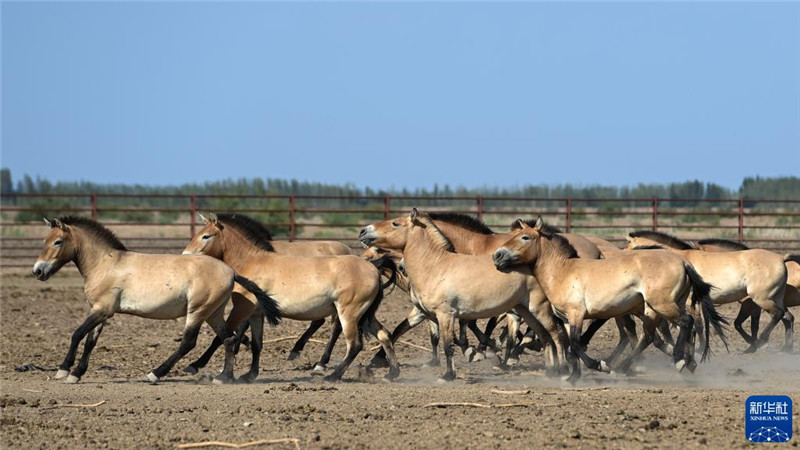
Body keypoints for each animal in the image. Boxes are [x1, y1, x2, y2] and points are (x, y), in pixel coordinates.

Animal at [32, 217, 282, 384]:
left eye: (57, 241)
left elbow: (77, 334)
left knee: (188, 342)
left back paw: (155, 373)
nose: (38, 271)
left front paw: (64, 370)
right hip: (213, 312)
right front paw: (77, 373)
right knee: (228, 339)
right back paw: (224, 377)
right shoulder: (100, 311)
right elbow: (89, 341)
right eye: (45, 240)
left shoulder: (102, 310)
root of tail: (231, 271)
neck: (107, 264)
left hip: (197, 311)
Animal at [185, 213, 404, 382]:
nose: (186, 255)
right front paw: (249, 375)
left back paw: (331, 375)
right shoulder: (256, 313)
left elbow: (222, 337)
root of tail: (373, 268)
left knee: (354, 344)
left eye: (206, 236)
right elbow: (256, 344)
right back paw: (392, 373)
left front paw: (206, 369)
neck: (252, 261)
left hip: (348, 313)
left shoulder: (241, 309)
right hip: (365, 315)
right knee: (384, 335)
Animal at [360, 209, 572, 382]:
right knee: (544, 336)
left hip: (539, 309)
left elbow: (448, 343)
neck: (436, 266)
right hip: (525, 310)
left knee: (556, 334)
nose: (363, 231)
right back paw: (547, 370)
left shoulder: (446, 314)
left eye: (395, 223)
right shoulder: (428, 312)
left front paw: (449, 374)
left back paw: (560, 370)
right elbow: (416, 332)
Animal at [490, 217, 728, 380]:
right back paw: (686, 363)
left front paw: (599, 366)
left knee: (685, 323)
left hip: (662, 305)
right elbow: (570, 345)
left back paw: (677, 360)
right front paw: (573, 376)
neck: (563, 270)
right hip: (661, 307)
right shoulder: (566, 319)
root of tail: (683, 262)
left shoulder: (577, 314)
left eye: (525, 237)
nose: (497, 256)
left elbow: (576, 344)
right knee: (665, 333)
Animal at [624, 230, 788, 354]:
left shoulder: (691, 303)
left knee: (777, 315)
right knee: (785, 317)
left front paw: (699, 348)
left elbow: (698, 325)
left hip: (761, 299)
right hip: (773, 298)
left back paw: (759, 343)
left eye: (628, 247)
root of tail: (781, 257)